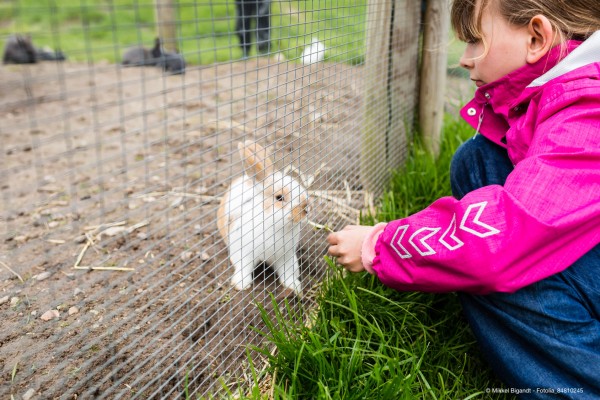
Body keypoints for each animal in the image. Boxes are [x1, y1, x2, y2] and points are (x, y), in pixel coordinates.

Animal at [217, 141, 310, 294]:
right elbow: (244, 269)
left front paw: (294, 287)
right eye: (279, 198)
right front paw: (241, 285)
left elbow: (288, 272)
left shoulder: (287, 256)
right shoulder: (243, 253)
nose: (306, 208)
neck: (274, 224)